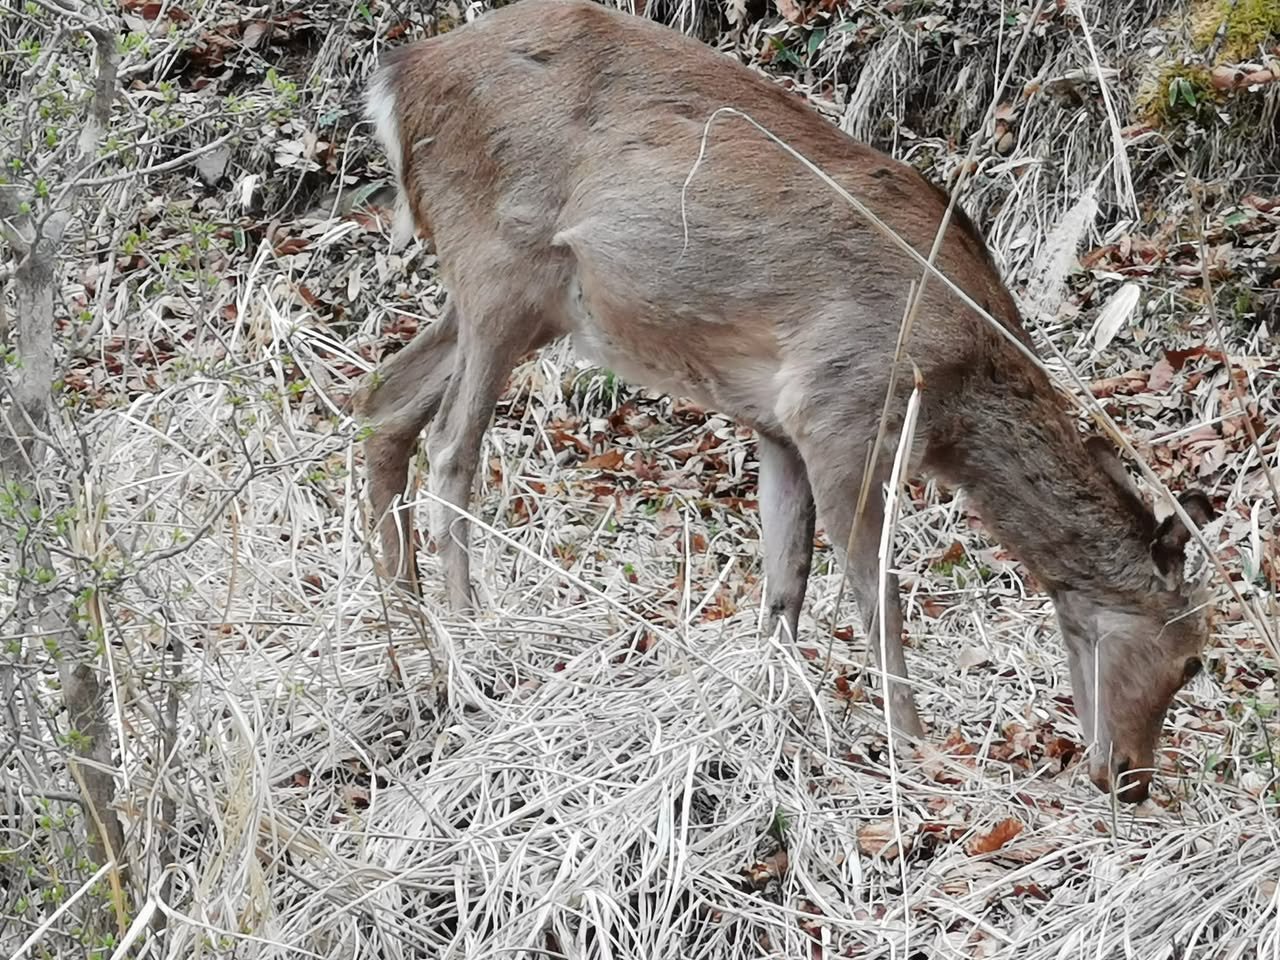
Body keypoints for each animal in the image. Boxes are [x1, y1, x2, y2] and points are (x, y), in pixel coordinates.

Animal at [355, 0, 1216, 803]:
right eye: (1193, 658)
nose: (1131, 780)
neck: (956, 385)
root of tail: (396, 79)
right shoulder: (842, 404)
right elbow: (878, 591)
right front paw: (915, 752)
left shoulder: (777, 425)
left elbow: (785, 578)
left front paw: (770, 712)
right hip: (499, 258)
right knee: (452, 444)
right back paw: (471, 639)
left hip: (513, 297)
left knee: (385, 399)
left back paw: (404, 620)